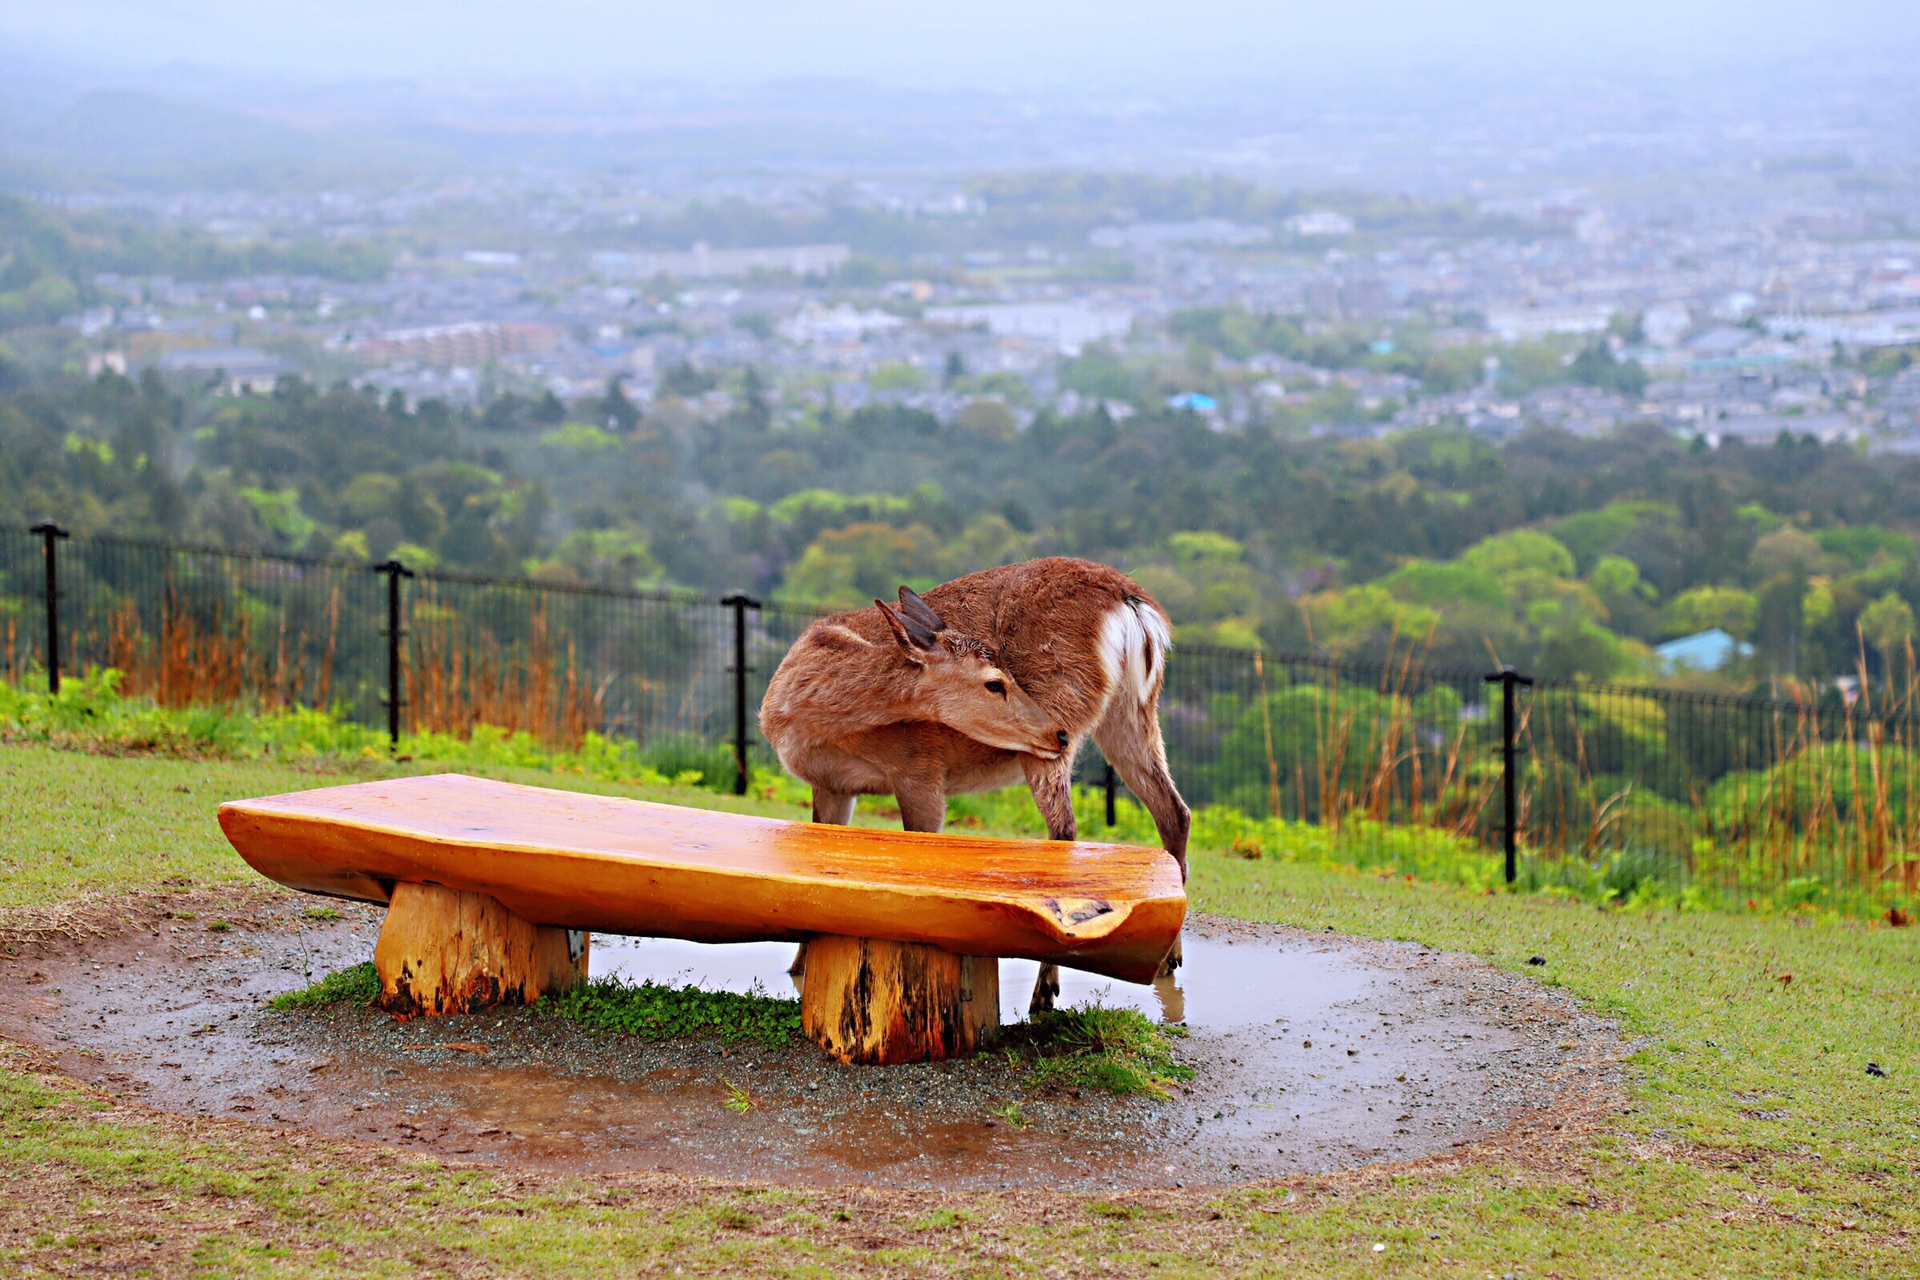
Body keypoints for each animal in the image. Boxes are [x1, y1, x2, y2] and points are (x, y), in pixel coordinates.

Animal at [760, 556, 1182, 1013]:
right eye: (994, 682)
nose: (1058, 733)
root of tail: (1133, 605)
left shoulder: (918, 768)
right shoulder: (832, 784)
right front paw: (799, 965)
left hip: (1062, 709)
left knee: (1066, 831)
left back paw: (1043, 993)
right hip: (1133, 711)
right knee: (1174, 812)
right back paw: (1167, 961)